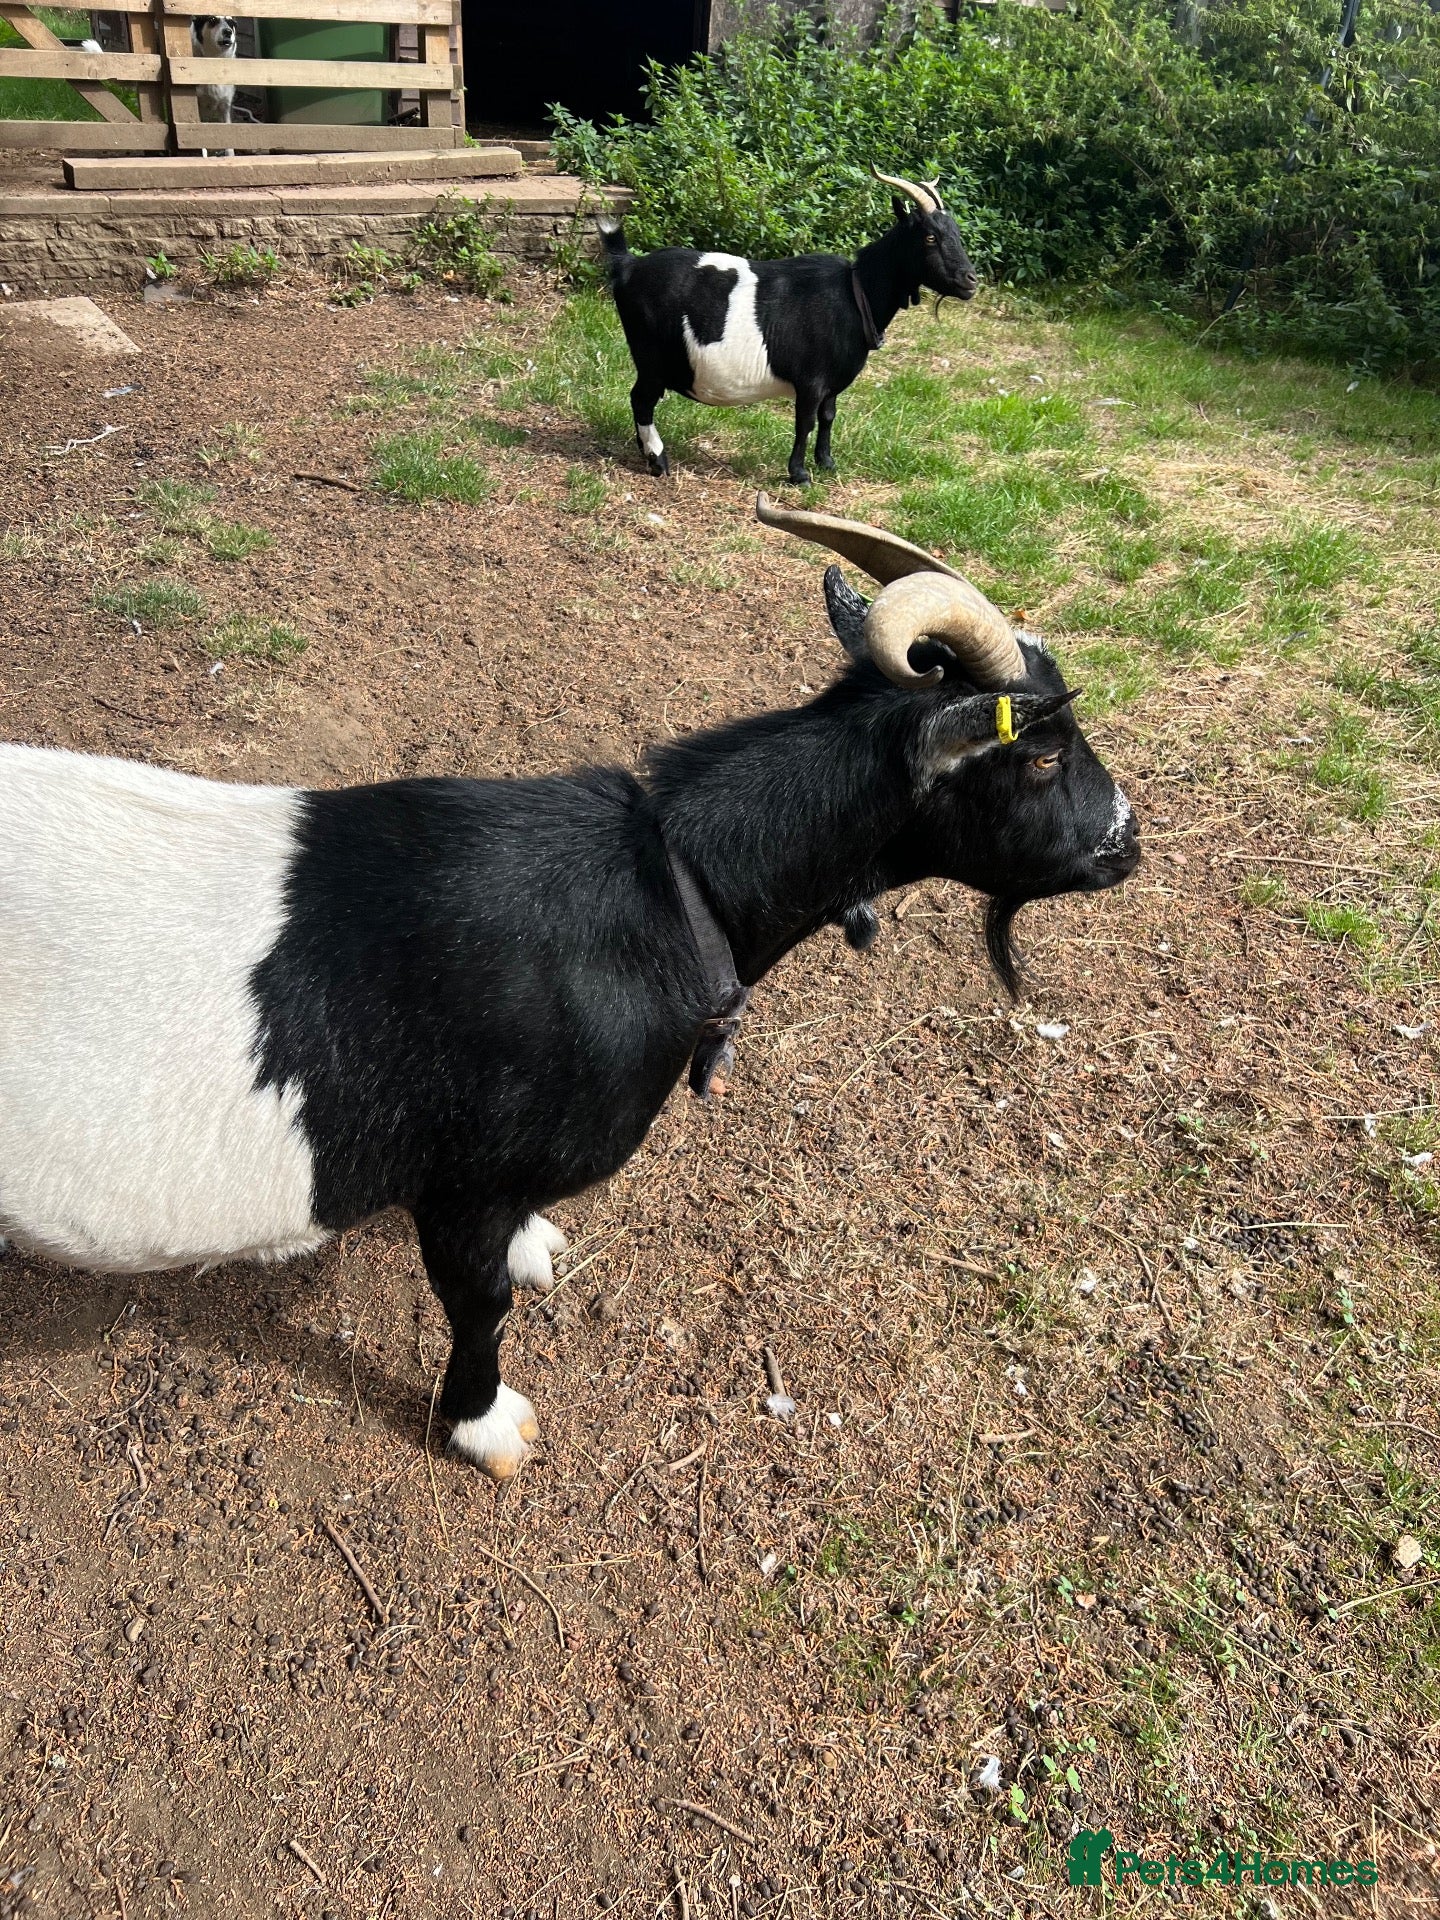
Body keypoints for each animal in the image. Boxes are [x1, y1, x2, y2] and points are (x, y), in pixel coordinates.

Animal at [0, 501, 1137, 1479]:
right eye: (1040, 754)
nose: (1128, 841)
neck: (672, 886)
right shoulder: (462, 1181)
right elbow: (479, 1306)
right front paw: (486, 1427)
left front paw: (536, 1248)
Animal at [602, 170, 979, 486]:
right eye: (930, 237)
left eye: (957, 234)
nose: (970, 280)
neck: (855, 293)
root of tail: (629, 265)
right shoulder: (810, 380)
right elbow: (806, 421)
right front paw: (799, 474)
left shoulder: (831, 384)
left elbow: (829, 416)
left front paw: (827, 463)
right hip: (651, 356)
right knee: (641, 399)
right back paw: (658, 460)